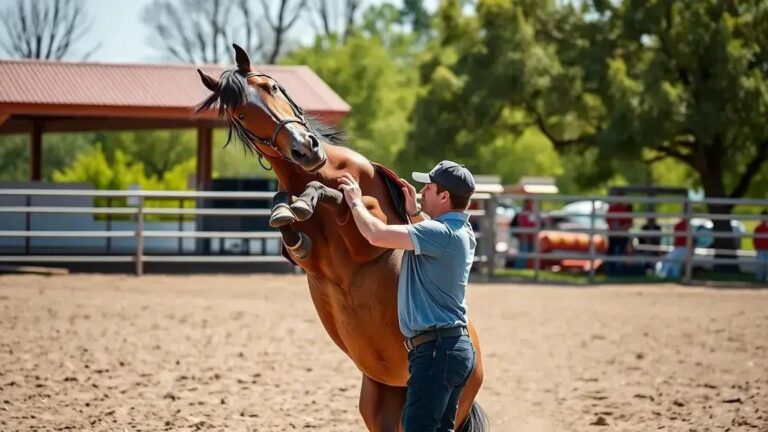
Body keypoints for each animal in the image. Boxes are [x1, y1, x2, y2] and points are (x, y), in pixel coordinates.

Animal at [195, 44, 489, 432]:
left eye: (272, 87)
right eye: (242, 114)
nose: (305, 149)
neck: (322, 171)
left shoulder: (370, 233)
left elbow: (336, 199)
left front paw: (307, 200)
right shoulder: (310, 259)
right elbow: (288, 221)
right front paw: (287, 210)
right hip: (381, 407)